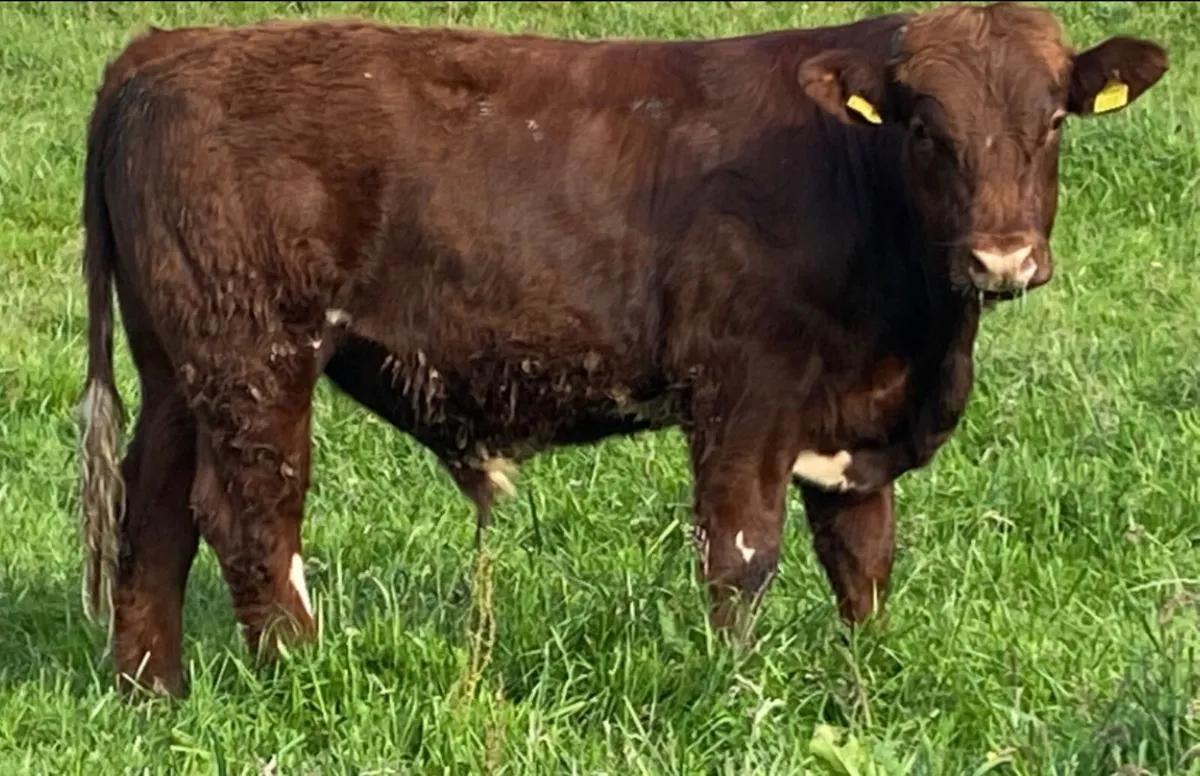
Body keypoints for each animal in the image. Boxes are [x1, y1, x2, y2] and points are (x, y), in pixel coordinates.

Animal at [76, 3, 1166, 697]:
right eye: (927, 129)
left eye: (1053, 118)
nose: (1002, 257)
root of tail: (169, 46)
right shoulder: (743, 394)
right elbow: (741, 554)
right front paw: (735, 692)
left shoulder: (853, 428)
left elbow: (863, 562)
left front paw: (866, 683)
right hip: (254, 357)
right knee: (249, 517)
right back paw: (303, 680)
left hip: (177, 365)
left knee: (155, 514)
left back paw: (154, 694)